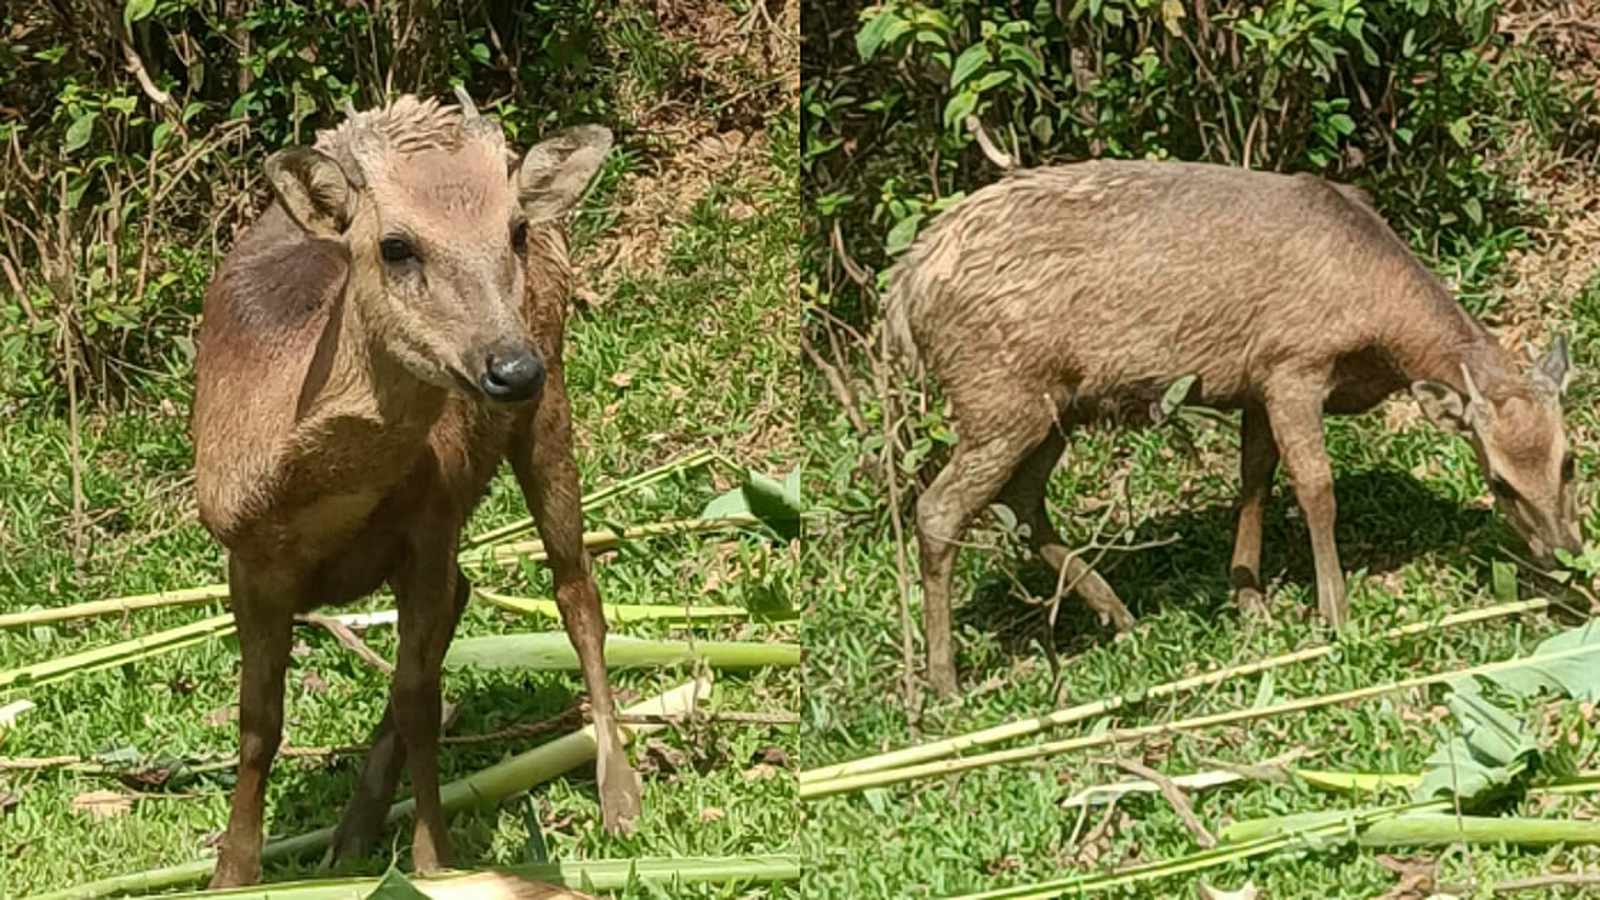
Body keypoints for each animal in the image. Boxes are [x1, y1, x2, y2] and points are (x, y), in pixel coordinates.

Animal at [191, 90, 639, 887]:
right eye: (395, 246)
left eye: (514, 231)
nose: (509, 367)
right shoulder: (246, 558)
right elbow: (258, 721)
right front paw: (231, 874)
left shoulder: (431, 522)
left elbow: (420, 699)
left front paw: (435, 861)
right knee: (466, 600)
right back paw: (353, 832)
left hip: (551, 394)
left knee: (574, 588)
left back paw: (619, 796)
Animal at [883, 159, 1583, 696]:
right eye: (1499, 483)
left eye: (1571, 460)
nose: (1567, 552)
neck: (1379, 333)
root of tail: (904, 297)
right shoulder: (1294, 363)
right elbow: (1315, 487)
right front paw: (1334, 615)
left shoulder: (1255, 382)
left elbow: (1254, 480)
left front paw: (1249, 598)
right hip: (998, 392)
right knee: (940, 509)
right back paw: (945, 683)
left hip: (1052, 405)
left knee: (1023, 503)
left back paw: (1121, 616)